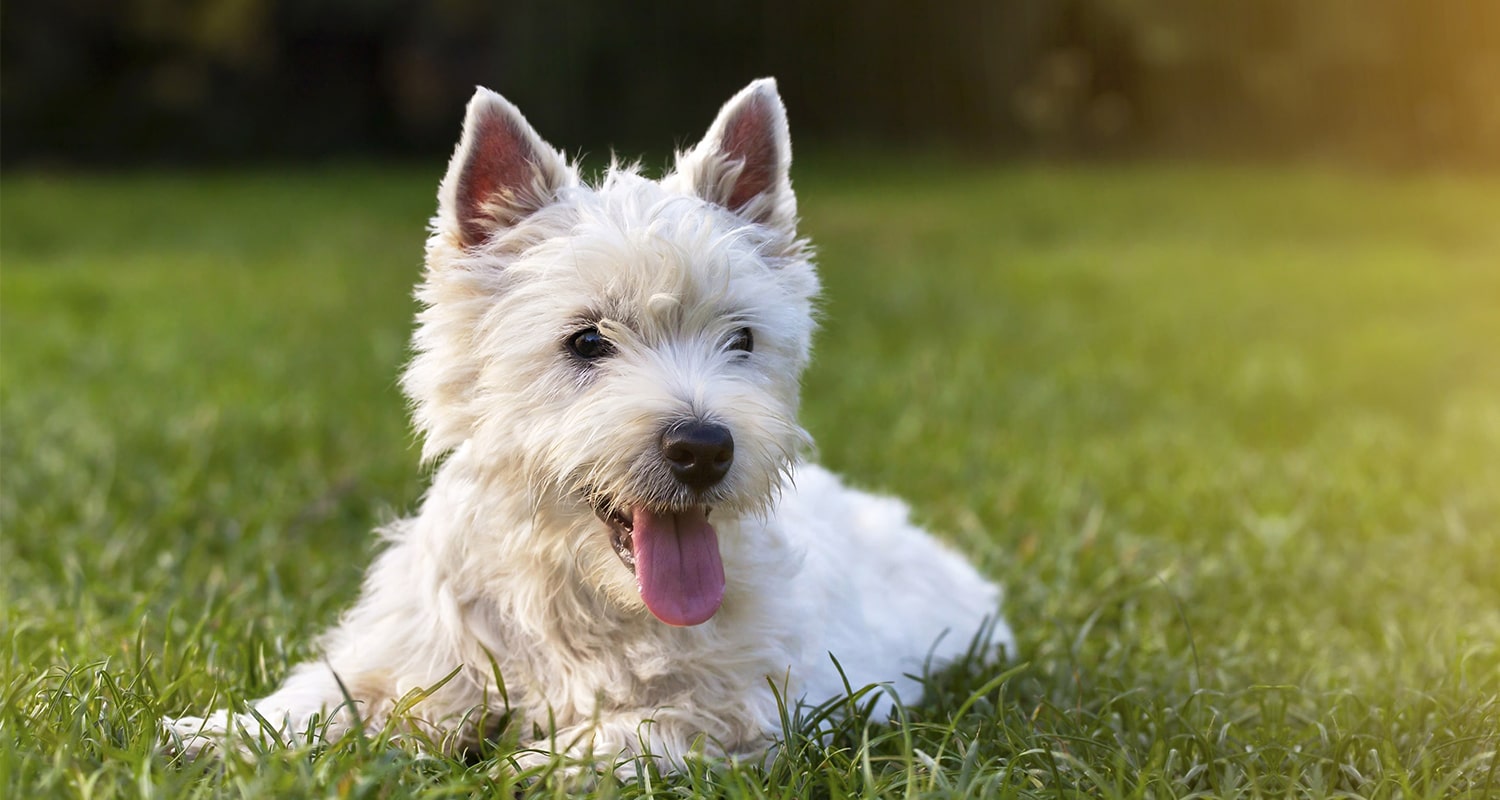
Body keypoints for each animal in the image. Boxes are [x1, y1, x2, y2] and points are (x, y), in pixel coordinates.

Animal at [167, 79, 1020, 768]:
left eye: (741, 338)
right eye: (585, 340)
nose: (703, 449)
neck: (580, 594)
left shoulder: (742, 709)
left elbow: (621, 733)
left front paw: (517, 768)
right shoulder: (418, 656)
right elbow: (327, 696)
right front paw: (208, 735)